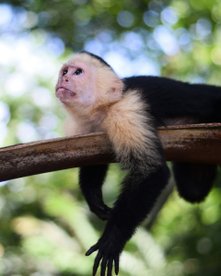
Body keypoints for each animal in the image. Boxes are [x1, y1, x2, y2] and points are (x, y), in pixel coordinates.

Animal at [55, 50, 219, 274]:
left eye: (78, 72)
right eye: (65, 71)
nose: (64, 79)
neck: (104, 108)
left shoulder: (125, 112)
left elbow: (152, 172)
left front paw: (112, 240)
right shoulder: (86, 128)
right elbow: (90, 159)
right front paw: (94, 199)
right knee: (194, 189)